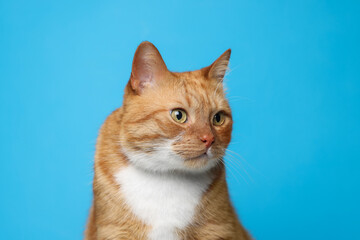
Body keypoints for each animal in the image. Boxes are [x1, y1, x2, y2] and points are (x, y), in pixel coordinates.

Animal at [85, 41, 252, 240]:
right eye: (179, 115)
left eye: (218, 118)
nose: (209, 139)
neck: (167, 176)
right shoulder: (114, 231)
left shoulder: (217, 228)